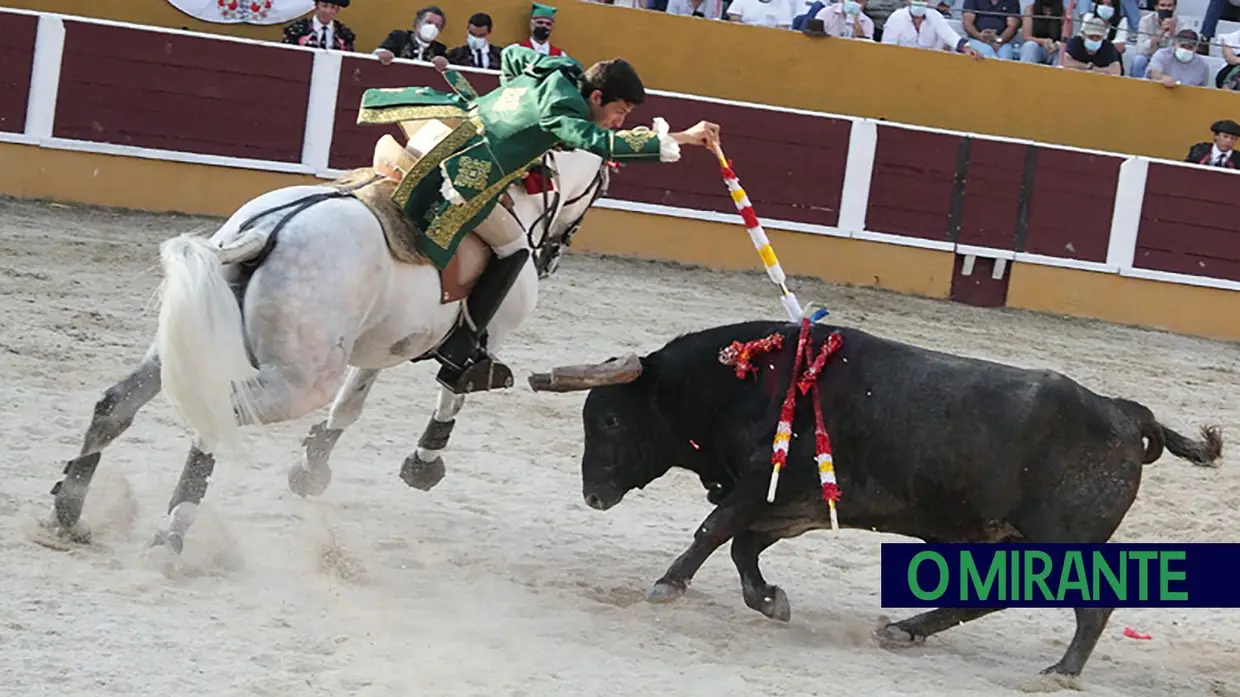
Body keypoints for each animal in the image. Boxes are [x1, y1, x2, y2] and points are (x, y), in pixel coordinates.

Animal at [47, 127, 610, 553]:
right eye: (600, 185)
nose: (557, 251)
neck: (522, 198)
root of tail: (264, 231)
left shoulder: (386, 342)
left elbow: (350, 405)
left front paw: (311, 467)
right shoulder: (486, 334)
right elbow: (454, 390)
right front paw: (423, 464)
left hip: (187, 348)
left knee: (117, 402)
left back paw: (69, 511)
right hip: (299, 381)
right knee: (215, 417)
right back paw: (171, 534)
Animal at [525, 322, 1220, 679]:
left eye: (610, 419)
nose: (592, 495)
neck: (742, 382)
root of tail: (1127, 414)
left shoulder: (762, 486)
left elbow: (714, 530)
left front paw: (668, 586)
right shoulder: (796, 504)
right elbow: (743, 546)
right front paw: (769, 601)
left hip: (1062, 540)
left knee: (1090, 603)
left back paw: (1062, 671)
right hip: (1011, 539)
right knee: (994, 595)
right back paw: (906, 630)